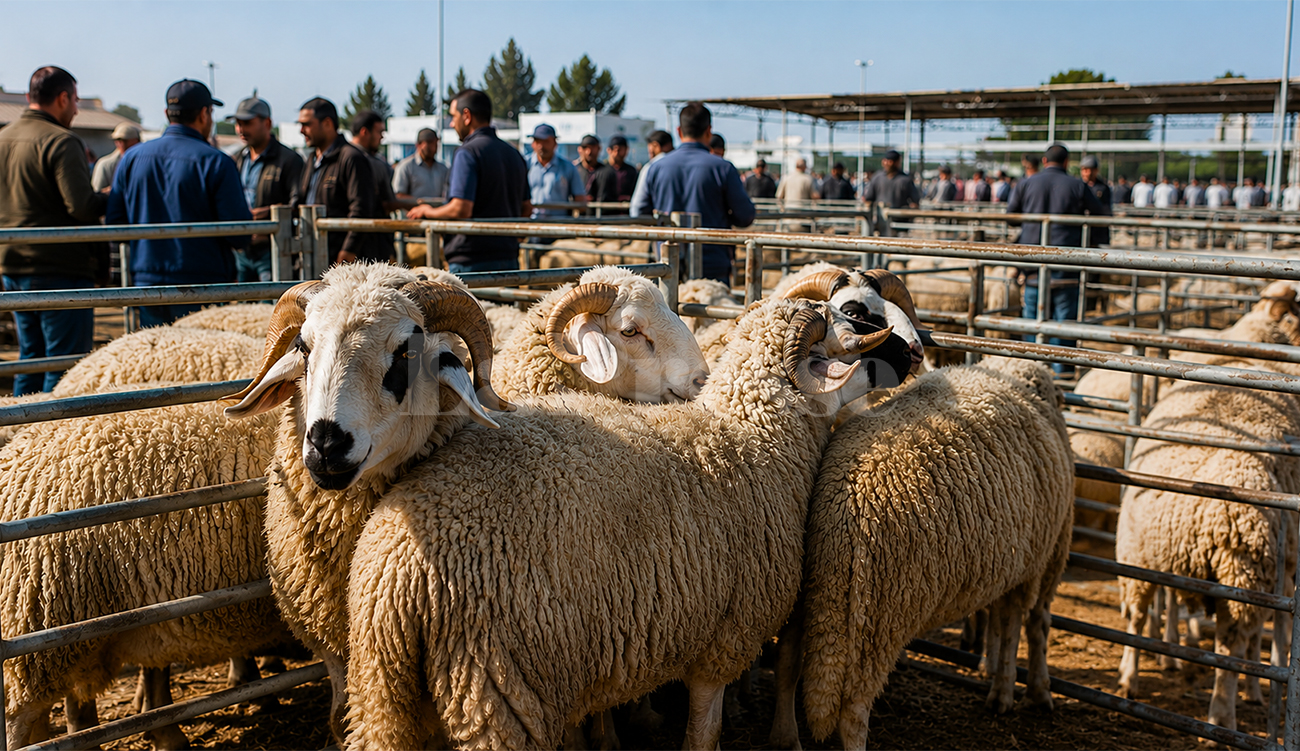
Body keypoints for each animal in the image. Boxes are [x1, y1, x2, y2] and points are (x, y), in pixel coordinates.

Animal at [335, 297, 916, 751]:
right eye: (849, 336)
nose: (912, 351)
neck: (754, 436)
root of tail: (397, 571)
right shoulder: (723, 640)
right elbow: (703, 733)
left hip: (384, 697)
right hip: (498, 691)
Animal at [766, 356, 1074, 750]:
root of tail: (843, 510)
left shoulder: (1017, 561)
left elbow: (1008, 624)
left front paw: (1003, 688)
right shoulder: (1040, 558)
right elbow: (1026, 625)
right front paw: (1025, 691)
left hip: (816, 599)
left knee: (787, 660)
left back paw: (784, 733)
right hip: (882, 615)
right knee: (854, 710)